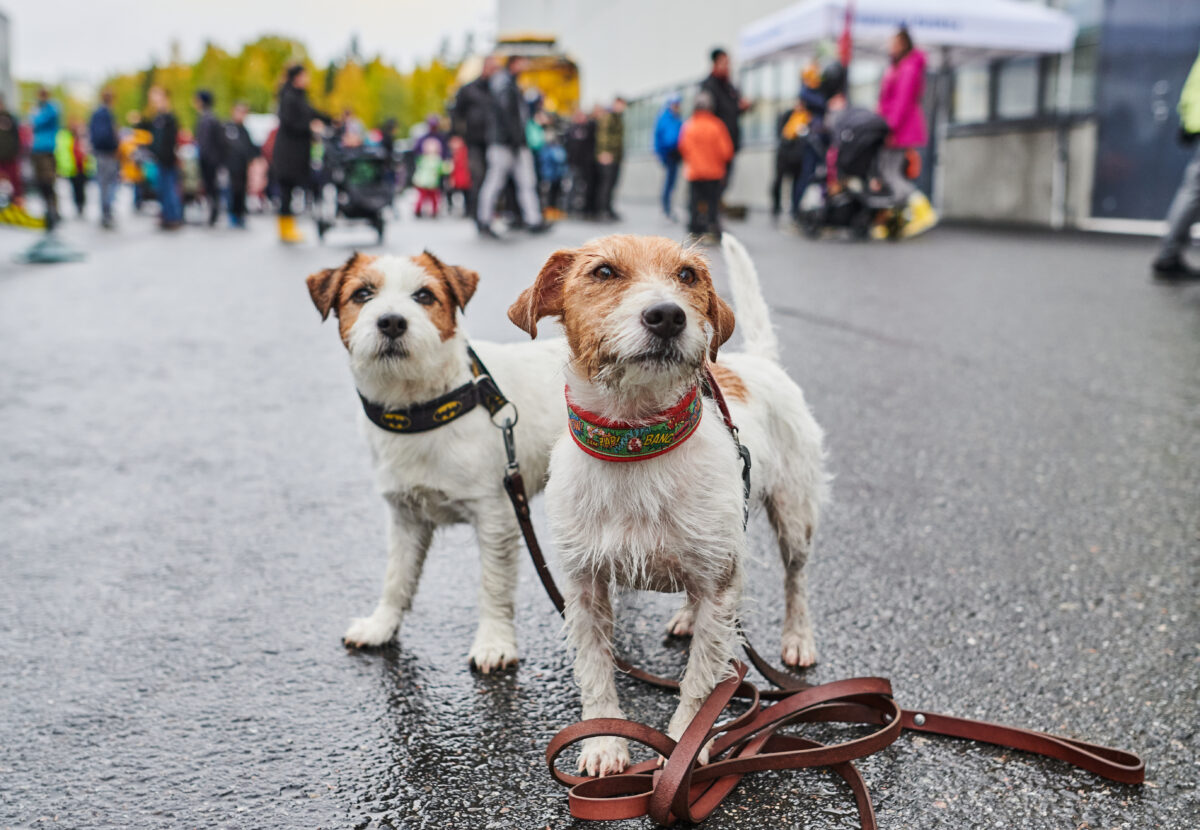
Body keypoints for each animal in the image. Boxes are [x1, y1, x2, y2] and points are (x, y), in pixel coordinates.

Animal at [309, 249, 571, 671]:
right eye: (362, 293)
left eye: (424, 295)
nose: (392, 322)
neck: (422, 410)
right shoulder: (405, 517)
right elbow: (396, 577)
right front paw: (381, 626)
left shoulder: (496, 518)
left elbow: (493, 586)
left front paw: (494, 642)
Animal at [504, 235, 825, 777]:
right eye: (604, 272)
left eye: (688, 276)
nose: (668, 315)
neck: (636, 443)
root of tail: (762, 363)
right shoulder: (584, 585)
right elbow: (595, 669)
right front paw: (603, 742)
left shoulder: (720, 586)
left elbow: (701, 682)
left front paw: (684, 748)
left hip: (793, 513)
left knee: (796, 578)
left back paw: (798, 637)